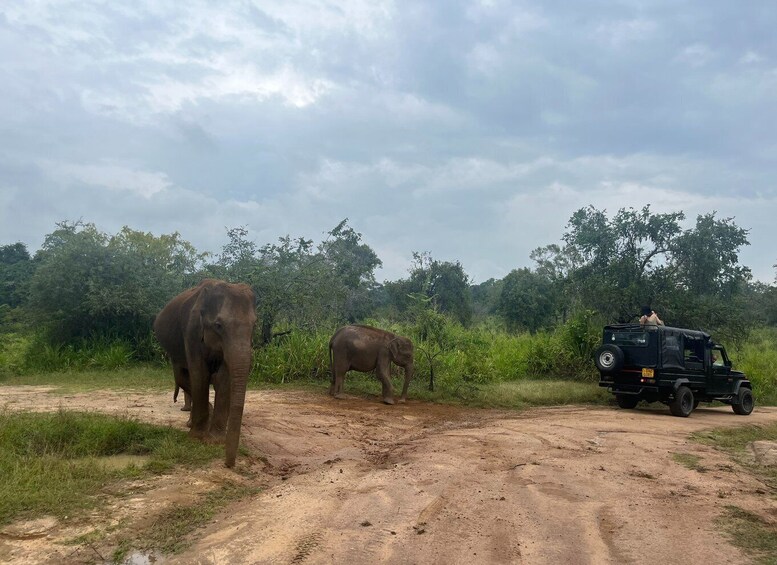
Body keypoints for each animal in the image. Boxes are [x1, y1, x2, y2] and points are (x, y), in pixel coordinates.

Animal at [153, 278, 256, 468]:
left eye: (254, 325)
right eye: (218, 325)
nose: (228, 464)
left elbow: (223, 378)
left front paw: (215, 441)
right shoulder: (192, 331)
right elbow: (200, 374)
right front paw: (197, 438)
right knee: (182, 378)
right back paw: (192, 423)